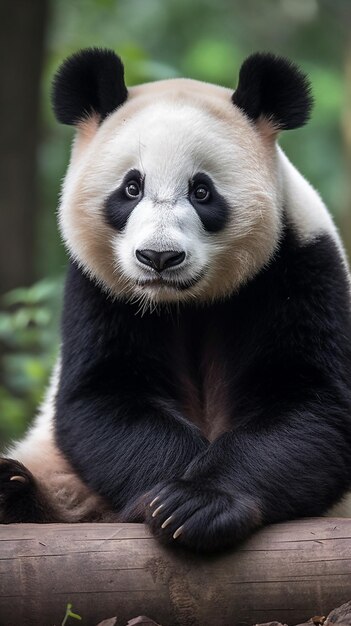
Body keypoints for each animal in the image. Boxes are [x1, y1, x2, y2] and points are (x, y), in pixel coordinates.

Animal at [2, 50, 351, 552]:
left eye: (201, 191)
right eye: (131, 188)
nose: (159, 257)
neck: (185, 303)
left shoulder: (299, 265)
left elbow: (312, 405)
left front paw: (196, 502)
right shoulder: (99, 289)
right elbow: (103, 398)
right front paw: (167, 499)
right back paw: (12, 490)